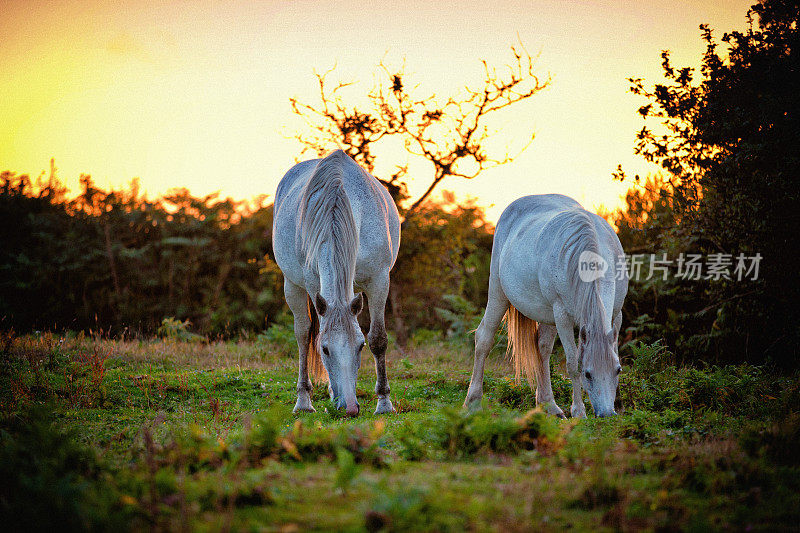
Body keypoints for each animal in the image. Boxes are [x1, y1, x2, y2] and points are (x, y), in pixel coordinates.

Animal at [276, 149, 400, 416]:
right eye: (325, 349)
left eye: (360, 346)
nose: (351, 407)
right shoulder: (313, 283)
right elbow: (314, 334)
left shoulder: (379, 280)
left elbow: (379, 338)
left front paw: (384, 403)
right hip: (292, 285)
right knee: (303, 335)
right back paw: (304, 400)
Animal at [466, 193, 628, 418]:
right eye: (588, 374)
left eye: (617, 370)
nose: (606, 414)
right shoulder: (562, 317)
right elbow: (572, 363)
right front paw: (579, 412)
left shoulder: (616, 315)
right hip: (498, 293)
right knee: (484, 338)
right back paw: (473, 401)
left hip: (547, 315)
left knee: (541, 348)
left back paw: (549, 405)